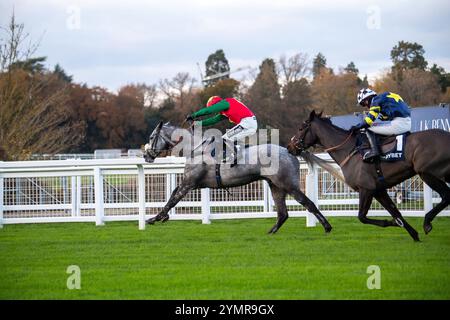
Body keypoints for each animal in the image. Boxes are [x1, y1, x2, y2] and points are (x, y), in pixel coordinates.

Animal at [142, 121, 332, 234]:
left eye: (151, 137)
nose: (146, 156)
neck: (196, 148)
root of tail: (290, 151)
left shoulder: (189, 183)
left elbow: (173, 199)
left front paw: (155, 218)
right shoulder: (193, 183)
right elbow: (172, 195)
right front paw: (160, 217)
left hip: (289, 185)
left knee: (308, 204)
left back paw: (327, 227)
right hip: (275, 186)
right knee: (283, 213)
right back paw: (270, 232)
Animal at [288, 111, 450, 241]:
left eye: (301, 128)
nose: (290, 147)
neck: (350, 151)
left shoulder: (366, 189)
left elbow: (362, 217)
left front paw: (391, 222)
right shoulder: (379, 190)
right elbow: (396, 212)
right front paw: (412, 233)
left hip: (427, 173)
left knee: (446, 195)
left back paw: (427, 222)